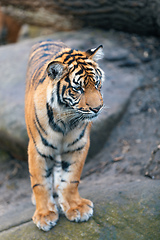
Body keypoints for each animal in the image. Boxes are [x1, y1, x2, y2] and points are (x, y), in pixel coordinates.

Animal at [24, 40, 104, 232]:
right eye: (78, 89)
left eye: (97, 83)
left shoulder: (78, 145)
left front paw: (76, 207)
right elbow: (40, 183)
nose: (97, 108)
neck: (66, 120)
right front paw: (44, 215)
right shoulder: (38, 149)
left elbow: (71, 178)